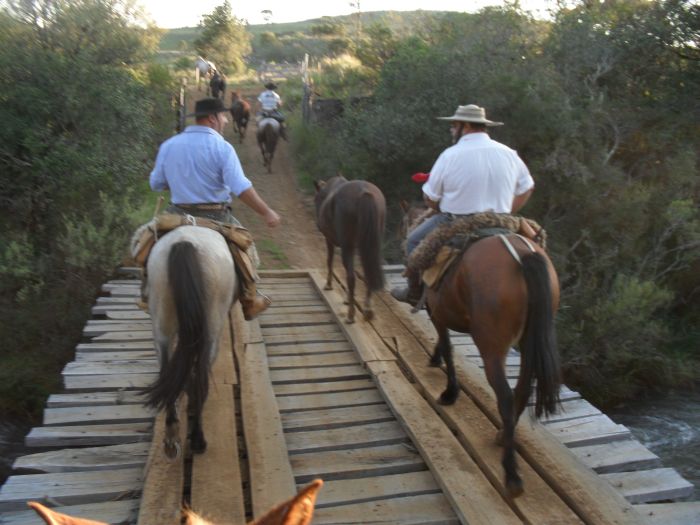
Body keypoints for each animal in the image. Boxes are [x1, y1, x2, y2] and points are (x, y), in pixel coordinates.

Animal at [314, 177, 386, 324]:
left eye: (315, 199)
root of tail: (365, 192)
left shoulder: (329, 240)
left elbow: (329, 261)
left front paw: (329, 285)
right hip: (371, 247)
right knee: (367, 274)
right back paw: (368, 310)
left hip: (348, 247)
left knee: (351, 277)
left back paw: (350, 315)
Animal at [400, 203, 564, 498]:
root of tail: (524, 256)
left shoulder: (437, 313)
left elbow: (447, 347)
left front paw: (449, 392)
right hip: (528, 342)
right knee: (523, 389)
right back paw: (502, 437)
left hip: (491, 347)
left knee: (506, 397)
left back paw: (511, 475)